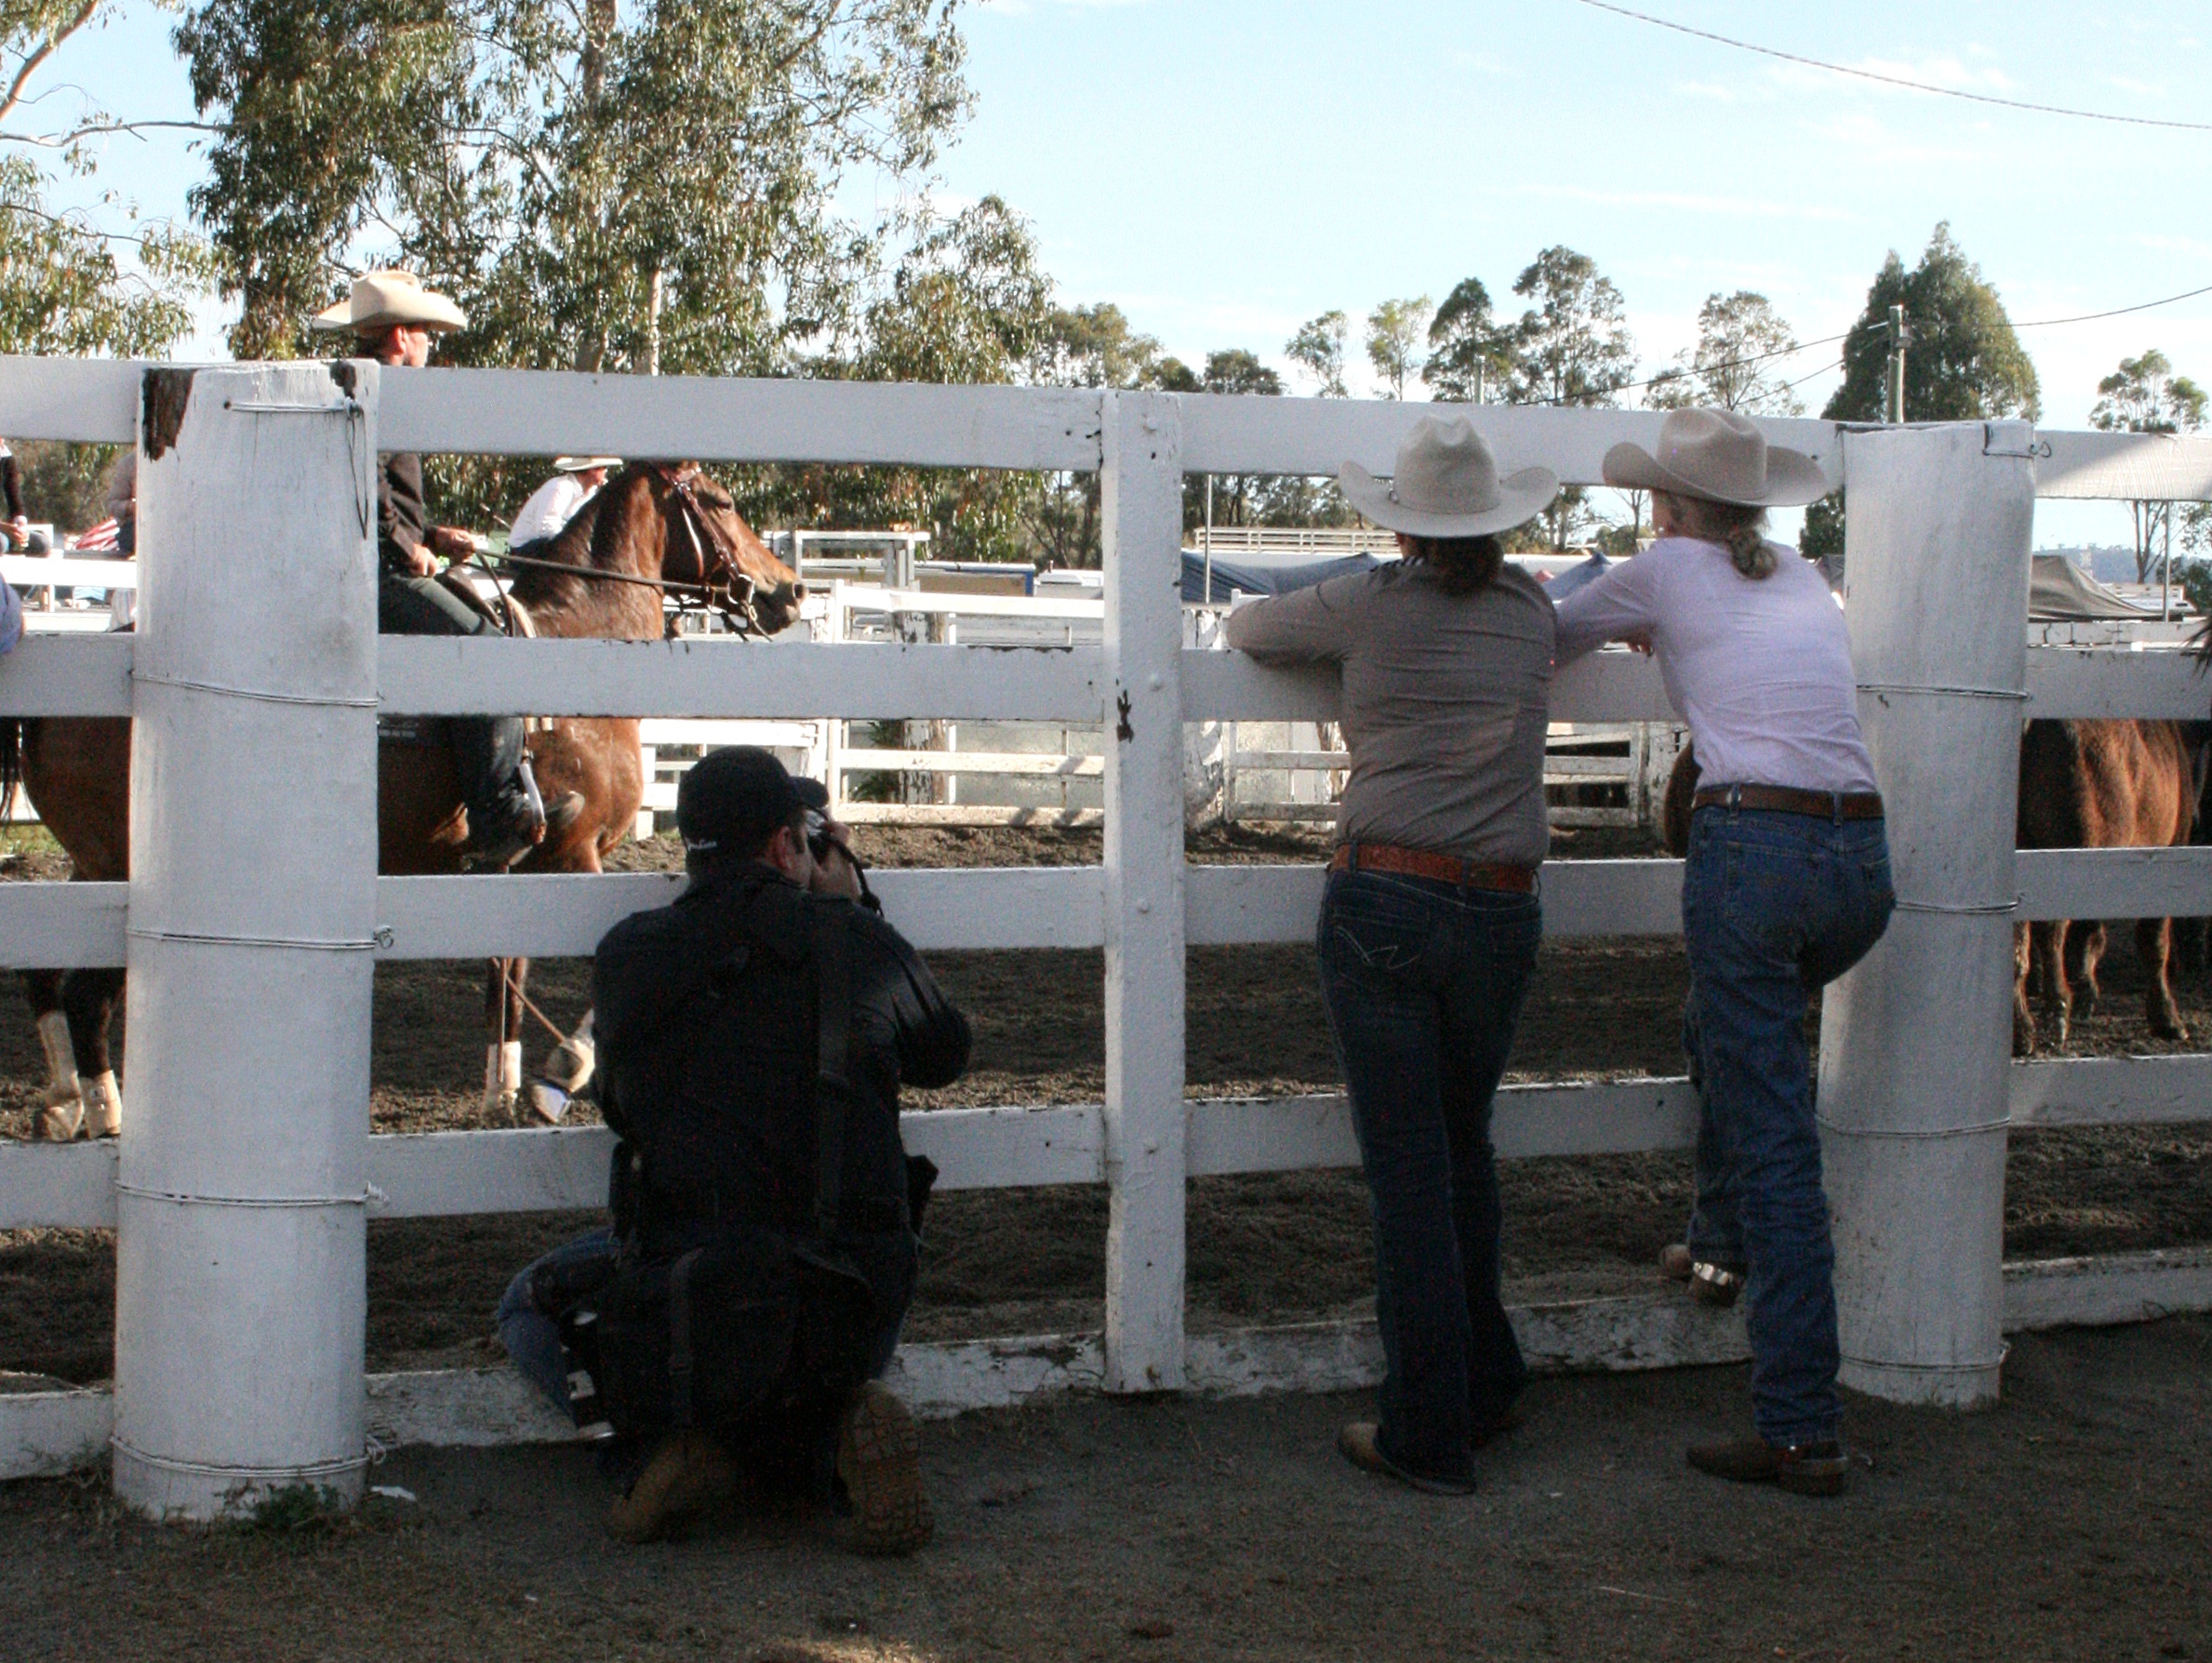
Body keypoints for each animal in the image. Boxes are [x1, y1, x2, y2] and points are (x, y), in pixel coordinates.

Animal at [6, 469, 805, 1140]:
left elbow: (505, 977)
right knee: (86, 997)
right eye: (722, 502)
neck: (575, 646)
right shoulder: (571, 853)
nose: (790, 590)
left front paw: (500, 1088)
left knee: (43, 975)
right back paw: (106, 1116)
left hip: (86, 868)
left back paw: (63, 1102)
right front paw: (560, 1073)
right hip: (125, 873)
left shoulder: (514, 871)